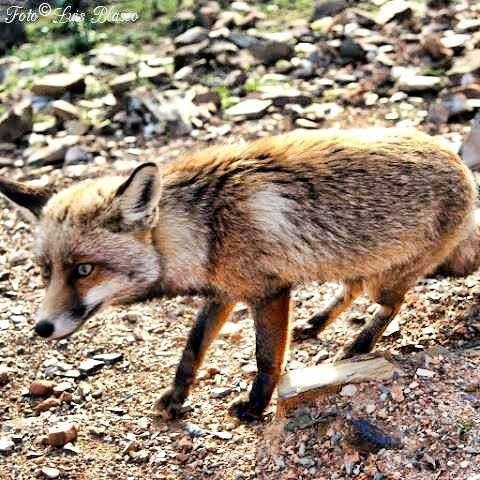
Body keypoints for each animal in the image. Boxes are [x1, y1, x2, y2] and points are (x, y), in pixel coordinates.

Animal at [0, 127, 480, 420]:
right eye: (45, 272)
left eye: (84, 270)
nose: (42, 328)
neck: (206, 230)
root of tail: (460, 163)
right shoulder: (221, 294)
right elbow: (191, 352)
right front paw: (177, 399)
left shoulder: (269, 293)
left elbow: (266, 359)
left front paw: (255, 407)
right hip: (356, 260)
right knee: (351, 289)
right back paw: (317, 323)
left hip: (386, 277)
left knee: (390, 304)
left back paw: (359, 344)